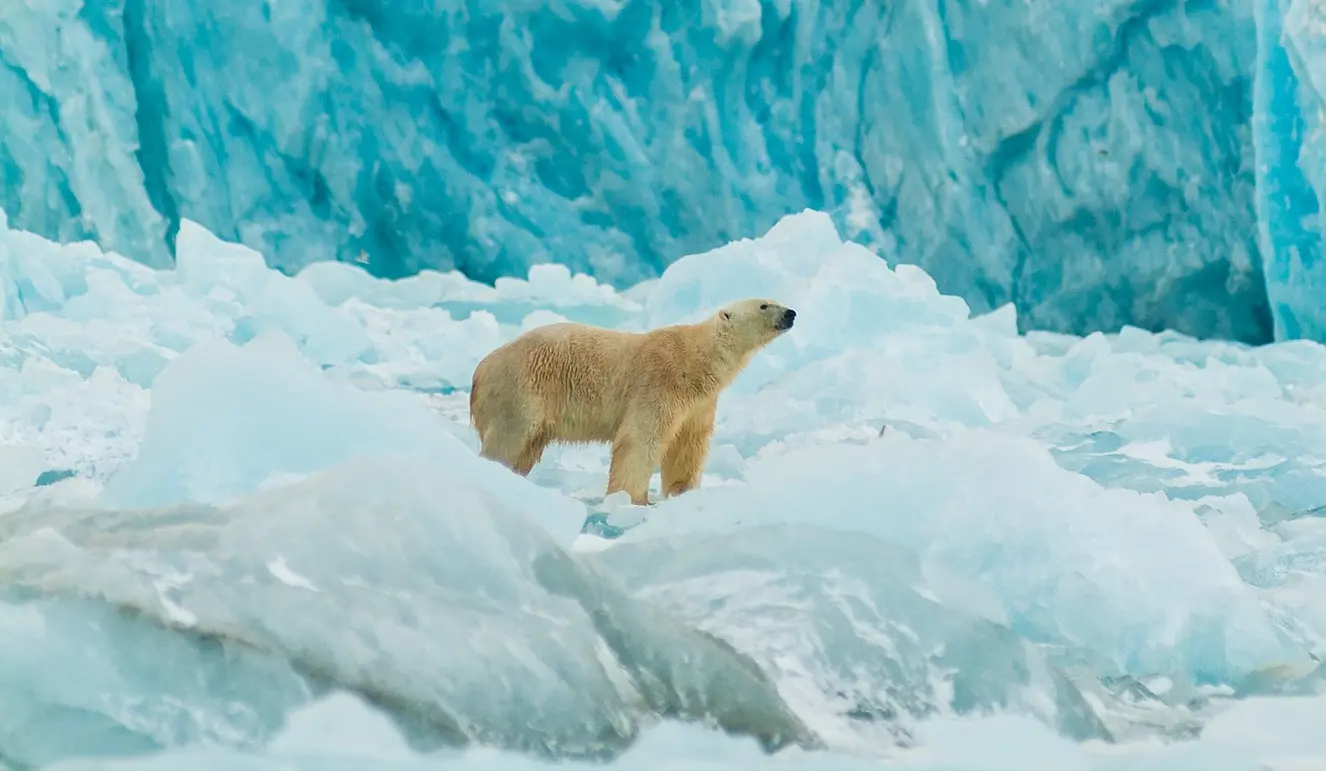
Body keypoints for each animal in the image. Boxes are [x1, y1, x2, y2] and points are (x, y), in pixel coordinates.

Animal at [469, 295, 795, 504]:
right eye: (764, 305)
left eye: (774, 299)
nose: (791, 313)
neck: (696, 359)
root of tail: (480, 371)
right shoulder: (660, 382)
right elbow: (640, 441)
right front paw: (632, 500)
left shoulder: (699, 403)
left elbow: (687, 445)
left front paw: (682, 492)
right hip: (521, 391)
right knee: (509, 439)